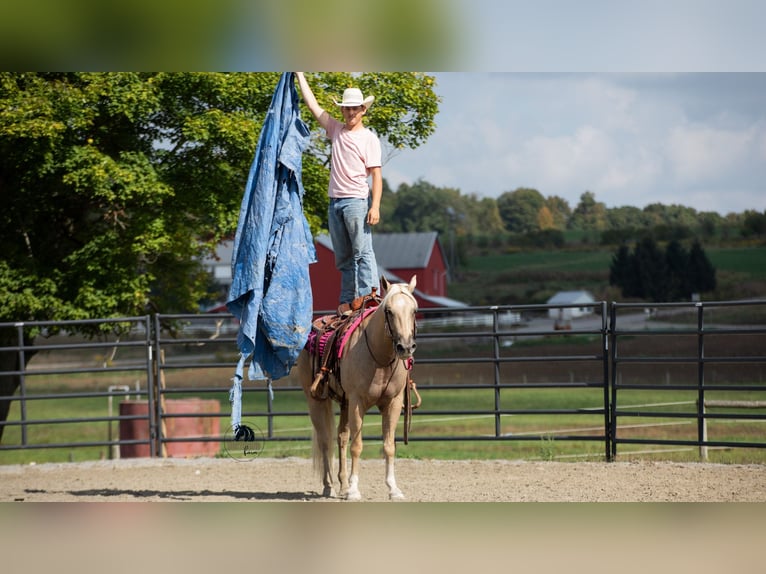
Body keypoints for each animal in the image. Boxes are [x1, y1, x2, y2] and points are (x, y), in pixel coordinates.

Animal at [295, 275, 418, 500]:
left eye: (414, 310)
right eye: (389, 310)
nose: (405, 347)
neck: (379, 358)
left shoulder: (394, 402)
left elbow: (389, 446)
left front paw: (393, 489)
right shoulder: (357, 402)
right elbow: (357, 446)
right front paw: (353, 490)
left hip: (344, 403)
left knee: (341, 438)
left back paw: (342, 485)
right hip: (316, 400)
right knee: (325, 441)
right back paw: (329, 486)